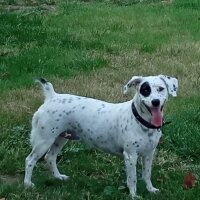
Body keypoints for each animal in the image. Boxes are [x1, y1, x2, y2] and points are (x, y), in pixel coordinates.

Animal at [23, 75, 178, 198]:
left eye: (161, 89)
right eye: (145, 90)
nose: (155, 102)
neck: (141, 122)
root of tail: (52, 96)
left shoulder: (149, 154)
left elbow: (146, 174)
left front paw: (150, 189)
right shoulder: (130, 156)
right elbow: (132, 179)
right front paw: (134, 196)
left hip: (60, 138)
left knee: (50, 157)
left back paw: (58, 177)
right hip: (44, 140)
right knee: (30, 160)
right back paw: (28, 184)